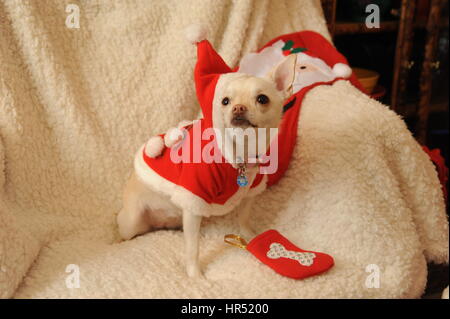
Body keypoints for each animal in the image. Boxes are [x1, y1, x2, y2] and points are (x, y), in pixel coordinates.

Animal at [118, 50, 298, 278]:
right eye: (225, 101)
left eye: (262, 99)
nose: (239, 108)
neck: (239, 154)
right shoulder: (194, 197)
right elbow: (192, 248)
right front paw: (195, 275)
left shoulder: (251, 190)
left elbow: (244, 217)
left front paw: (250, 237)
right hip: (132, 221)